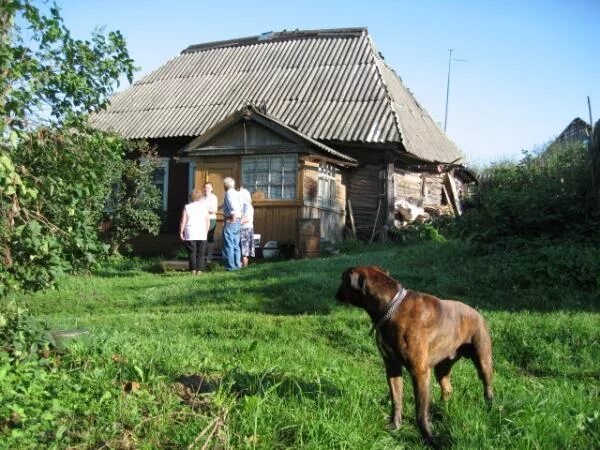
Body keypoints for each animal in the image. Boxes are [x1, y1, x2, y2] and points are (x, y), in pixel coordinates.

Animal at [336, 266, 494, 444]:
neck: (391, 307)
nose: (336, 293)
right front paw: (395, 425)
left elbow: (420, 412)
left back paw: (489, 405)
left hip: (483, 360)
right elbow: (396, 399)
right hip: (441, 369)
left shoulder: (419, 373)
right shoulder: (392, 368)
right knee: (447, 389)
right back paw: (443, 408)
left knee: (487, 385)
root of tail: (478, 313)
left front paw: (429, 438)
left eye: (342, 279)